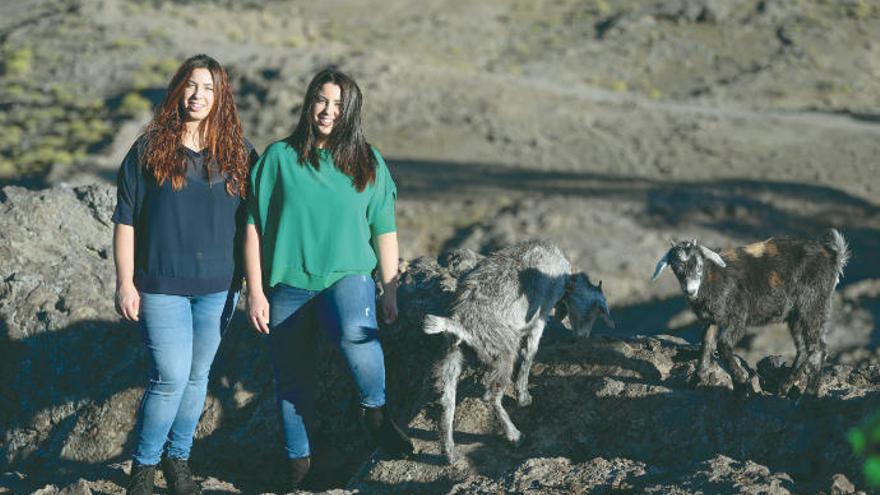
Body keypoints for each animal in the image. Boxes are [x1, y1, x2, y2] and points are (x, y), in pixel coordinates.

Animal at [424, 241, 612, 464]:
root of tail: (458, 323)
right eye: (595, 311)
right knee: (490, 396)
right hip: (503, 351)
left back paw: (450, 454)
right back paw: (515, 435)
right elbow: (530, 354)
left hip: (452, 354)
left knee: (447, 401)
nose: (583, 336)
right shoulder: (540, 317)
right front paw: (524, 397)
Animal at [652, 230, 844, 400]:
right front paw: (695, 380)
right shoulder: (712, 321)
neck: (713, 278)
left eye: (699, 266)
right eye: (676, 268)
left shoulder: (737, 318)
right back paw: (784, 387)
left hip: (813, 306)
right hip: (796, 316)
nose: (690, 291)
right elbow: (706, 347)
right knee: (803, 349)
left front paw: (742, 383)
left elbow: (723, 345)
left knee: (818, 349)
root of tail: (833, 256)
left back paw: (807, 397)